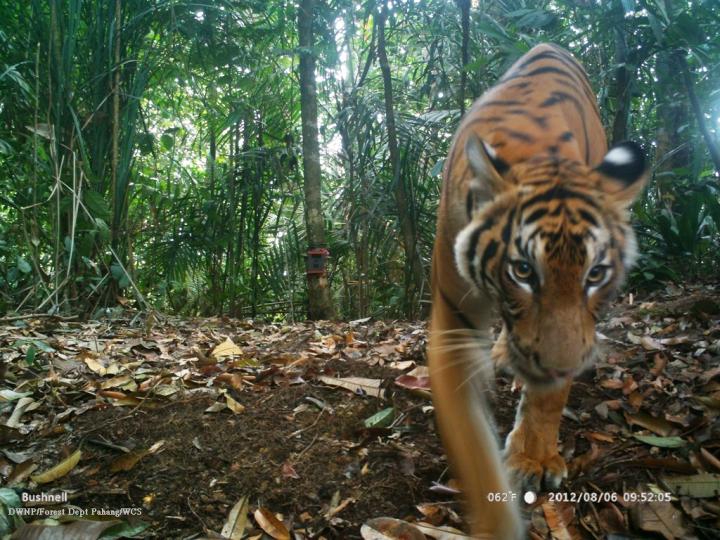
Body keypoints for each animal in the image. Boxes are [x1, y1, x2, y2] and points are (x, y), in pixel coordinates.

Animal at [427, 43, 647, 539]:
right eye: (523, 271)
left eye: (595, 275)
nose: (561, 364)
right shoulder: (453, 321)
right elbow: (471, 446)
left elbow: (547, 398)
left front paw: (534, 458)